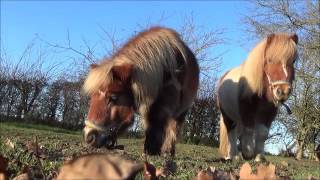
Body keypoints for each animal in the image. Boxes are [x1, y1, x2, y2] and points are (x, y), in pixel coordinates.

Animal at [81, 26, 199, 156]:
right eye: (92, 97)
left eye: (113, 97)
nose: (88, 136)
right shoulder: (147, 104)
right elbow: (149, 124)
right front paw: (149, 149)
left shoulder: (164, 104)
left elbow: (158, 122)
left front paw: (154, 150)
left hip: (182, 111)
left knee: (174, 128)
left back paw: (169, 151)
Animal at [216, 33, 298, 161]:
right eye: (269, 60)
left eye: (293, 61)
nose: (283, 91)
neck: (262, 95)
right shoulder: (247, 112)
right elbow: (249, 130)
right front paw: (248, 153)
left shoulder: (268, 114)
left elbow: (263, 134)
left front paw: (259, 156)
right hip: (227, 116)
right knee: (231, 133)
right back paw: (234, 155)